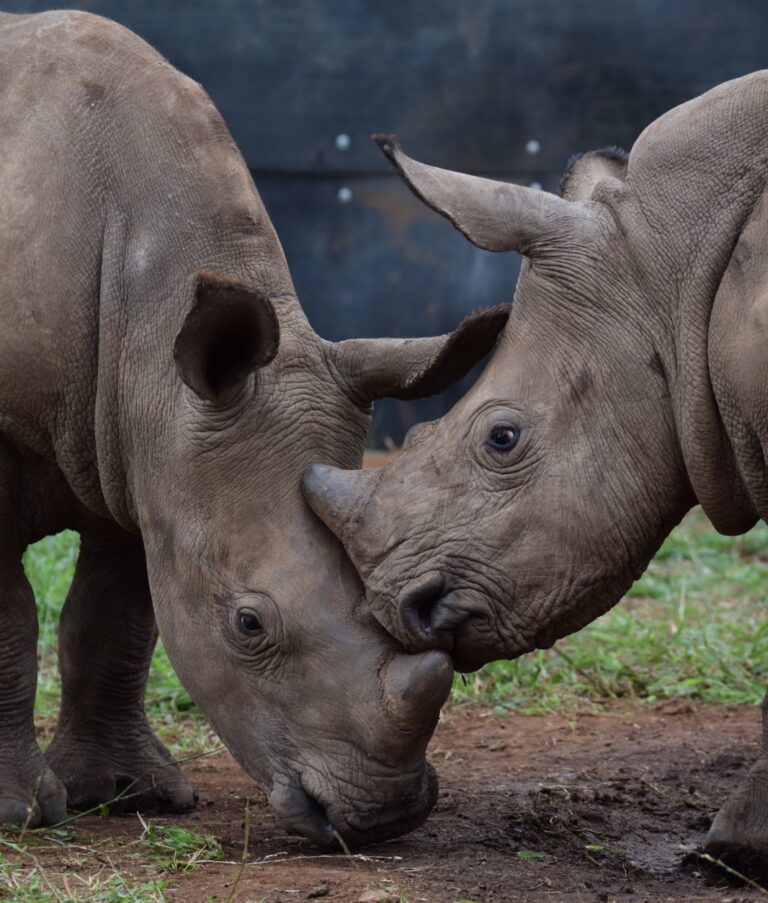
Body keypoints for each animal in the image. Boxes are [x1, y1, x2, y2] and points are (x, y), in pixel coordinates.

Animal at [0, 10, 508, 846]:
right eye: (247, 624)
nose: (382, 814)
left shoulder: (142, 457)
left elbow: (116, 617)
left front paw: (128, 793)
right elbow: (11, 616)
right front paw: (19, 812)